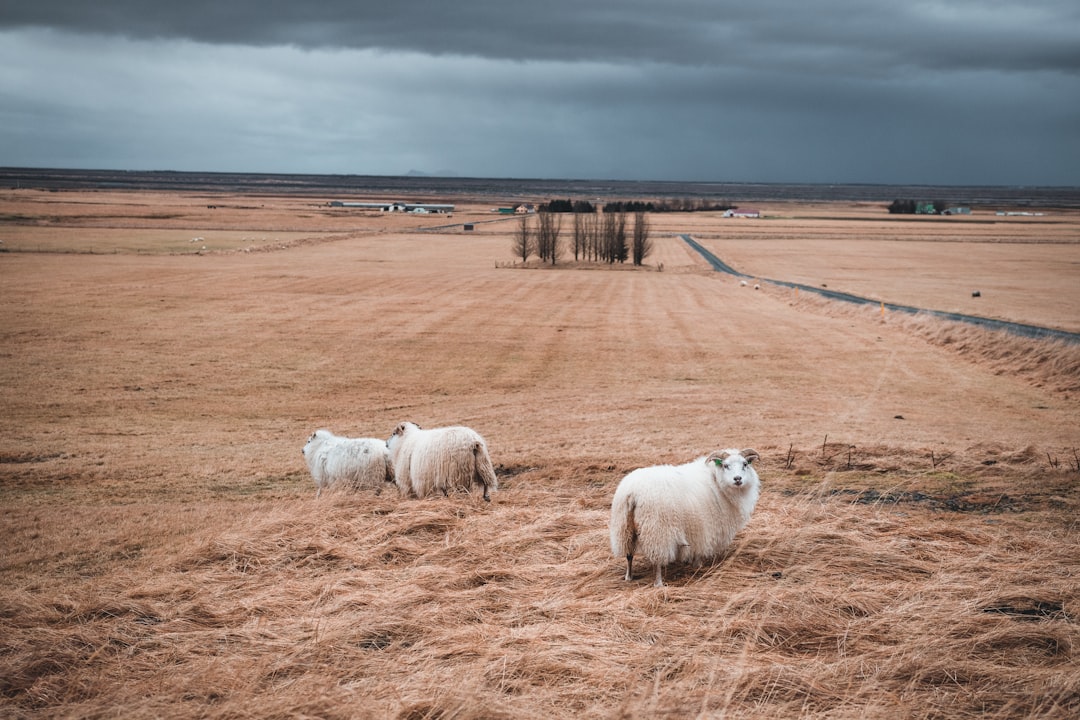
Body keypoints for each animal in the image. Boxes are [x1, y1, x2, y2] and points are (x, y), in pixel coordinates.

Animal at [609, 446, 760, 587]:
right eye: (725, 465)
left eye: (745, 464)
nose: (738, 479)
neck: (715, 479)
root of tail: (632, 492)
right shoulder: (704, 526)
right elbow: (700, 547)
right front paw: (698, 564)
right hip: (658, 530)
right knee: (657, 558)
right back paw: (659, 583)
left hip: (624, 527)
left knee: (629, 554)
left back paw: (629, 576)